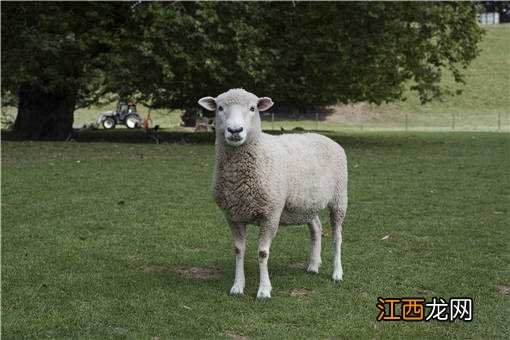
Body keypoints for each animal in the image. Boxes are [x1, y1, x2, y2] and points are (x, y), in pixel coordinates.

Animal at [198, 88, 346, 298]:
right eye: (219, 108)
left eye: (253, 108)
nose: (235, 131)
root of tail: (324, 137)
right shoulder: (233, 216)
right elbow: (238, 250)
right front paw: (237, 286)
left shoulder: (271, 214)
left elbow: (263, 252)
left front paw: (264, 290)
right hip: (307, 204)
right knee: (316, 228)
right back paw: (313, 265)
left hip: (339, 197)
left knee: (337, 236)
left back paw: (337, 273)